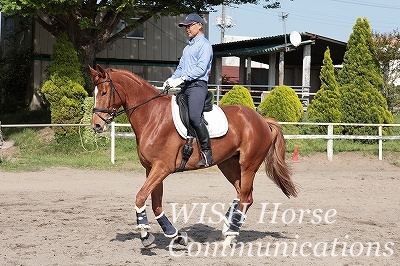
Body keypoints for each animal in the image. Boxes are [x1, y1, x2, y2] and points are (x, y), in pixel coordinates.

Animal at [90, 64, 296, 247]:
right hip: (228, 164)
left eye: (104, 92)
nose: (96, 126)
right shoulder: (151, 169)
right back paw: (227, 227)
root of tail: (261, 119)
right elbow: (156, 204)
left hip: (248, 165)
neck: (152, 116)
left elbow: (140, 197)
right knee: (242, 193)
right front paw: (176, 235)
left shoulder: (161, 168)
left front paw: (145, 236)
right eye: (95, 92)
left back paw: (230, 236)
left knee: (246, 197)